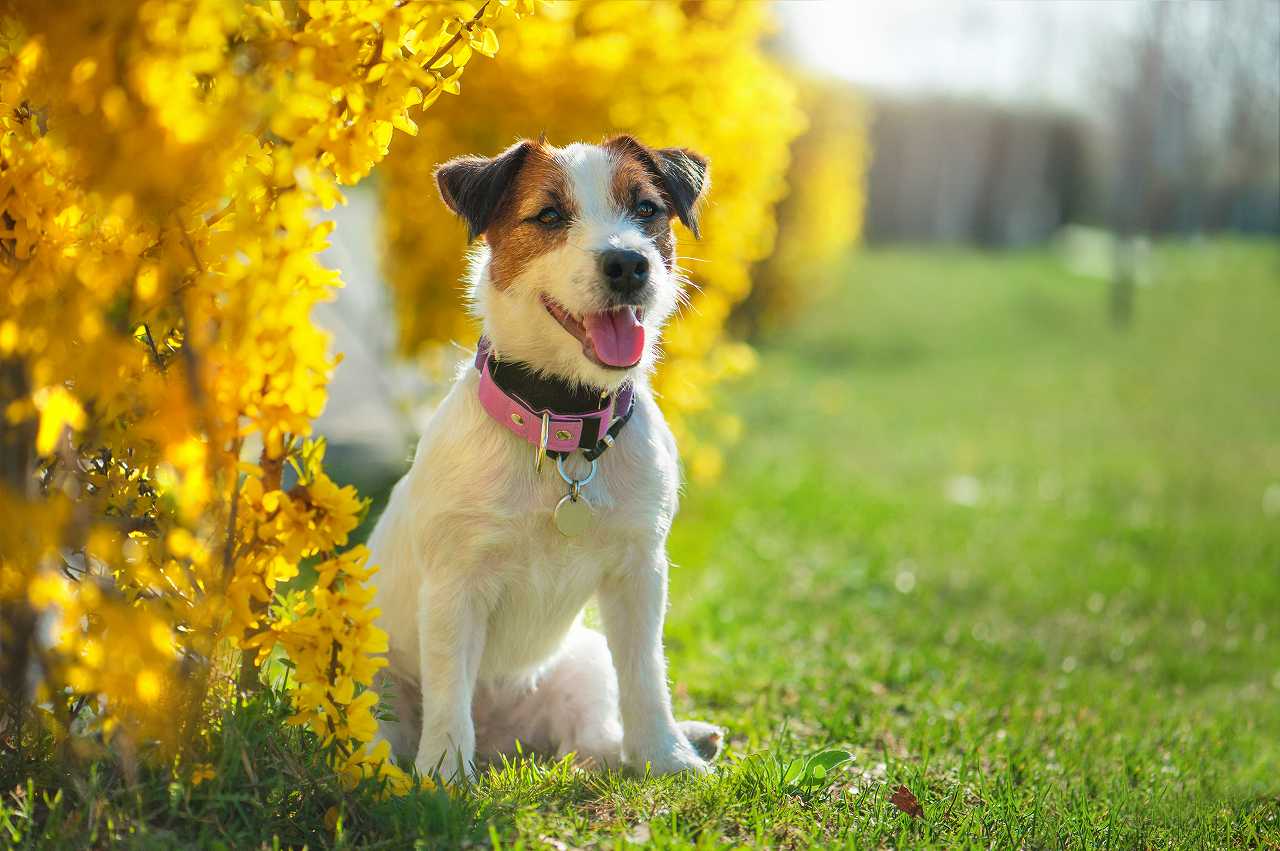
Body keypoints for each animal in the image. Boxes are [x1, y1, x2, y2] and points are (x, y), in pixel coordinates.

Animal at [371, 136, 727, 778]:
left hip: (585, 660)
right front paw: (443, 776)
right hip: (368, 677)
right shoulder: (455, 587)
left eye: (646, 209)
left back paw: (682, 740)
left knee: (597, 743)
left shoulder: (639, 573)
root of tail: (502, 743)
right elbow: (448, 691)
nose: (628, 264)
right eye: (549, 215)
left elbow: (646, 676)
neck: (561, 424)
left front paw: (667, 758)